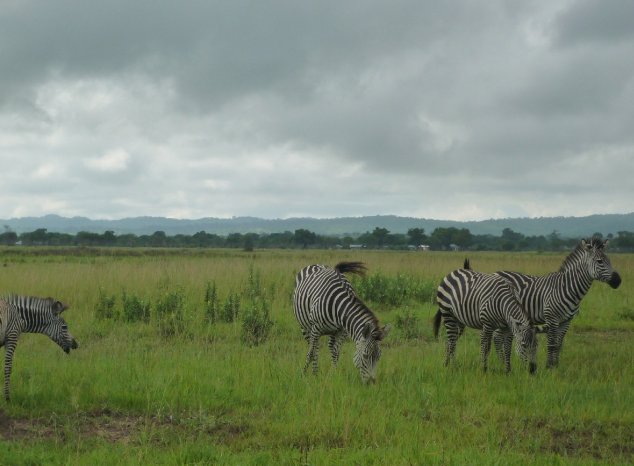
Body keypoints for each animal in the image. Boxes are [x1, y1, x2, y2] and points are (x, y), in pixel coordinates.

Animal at [492, 238, 620, 370]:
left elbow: (558, 344)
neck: (567, 288)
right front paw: (549, 366)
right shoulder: (552, 318)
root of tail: (496, 272)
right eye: (599, 261)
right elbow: (552, 343)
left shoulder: (566, 321)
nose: (618, 281)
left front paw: (556, 365)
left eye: (609, 260)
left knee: (498, 336)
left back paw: (501, 362)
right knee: (497, 337)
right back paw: (501, 362)